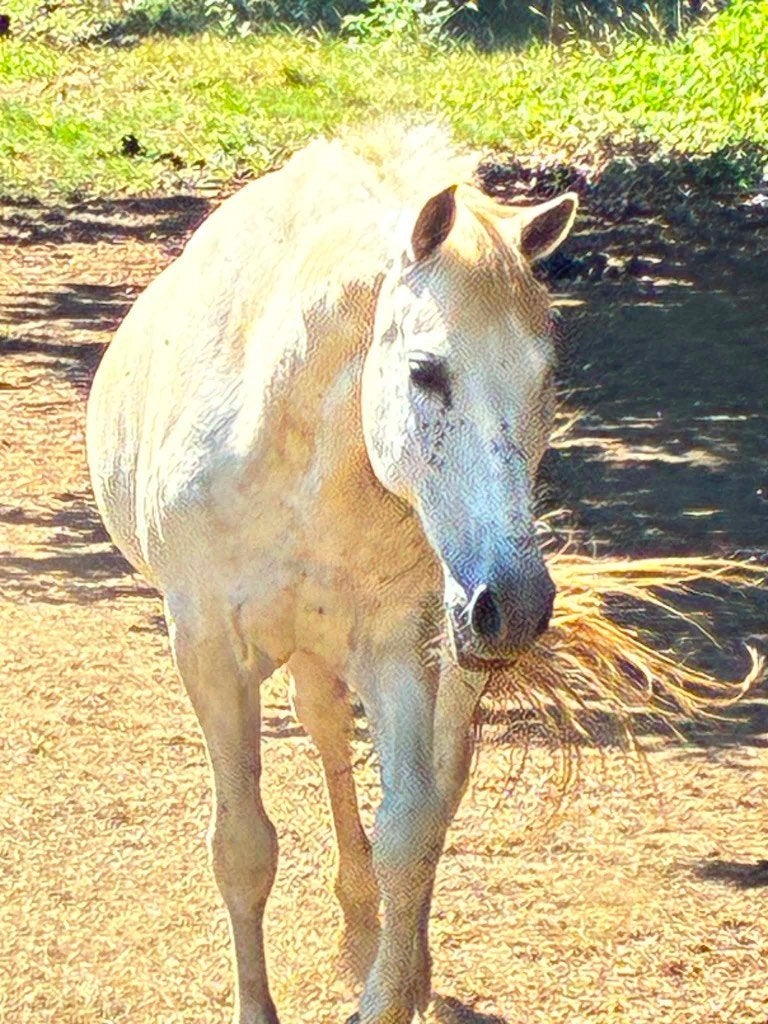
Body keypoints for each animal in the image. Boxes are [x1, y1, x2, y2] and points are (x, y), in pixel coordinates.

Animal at [86, 124, 578, 1024]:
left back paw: (394, 952)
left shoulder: (397, 648)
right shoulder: (208, 653)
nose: (517, 605)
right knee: (325, 734)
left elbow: (410, 831)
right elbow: (243, 848)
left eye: (546, 377)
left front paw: (390, 989)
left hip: (444, 653)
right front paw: (260, 1005)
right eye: (425, 371)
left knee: (435, 786)